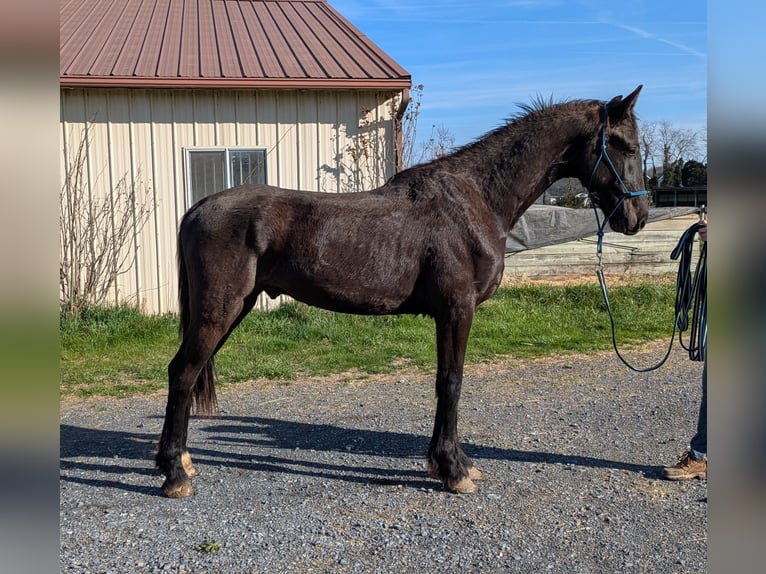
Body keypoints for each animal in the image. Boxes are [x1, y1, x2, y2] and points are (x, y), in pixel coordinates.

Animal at [156, 86, 649, 498]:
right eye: (624, 145)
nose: (638, 217)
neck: (474, 199)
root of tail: (198, 208)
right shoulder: (456, 309)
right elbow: (451, 382)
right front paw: (453, 470)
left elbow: (446, 382)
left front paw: (455, 462)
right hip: (220, 309)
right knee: (182, 373)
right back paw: (175, 474)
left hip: (233, 309)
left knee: (184, 372)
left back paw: (177, 460)